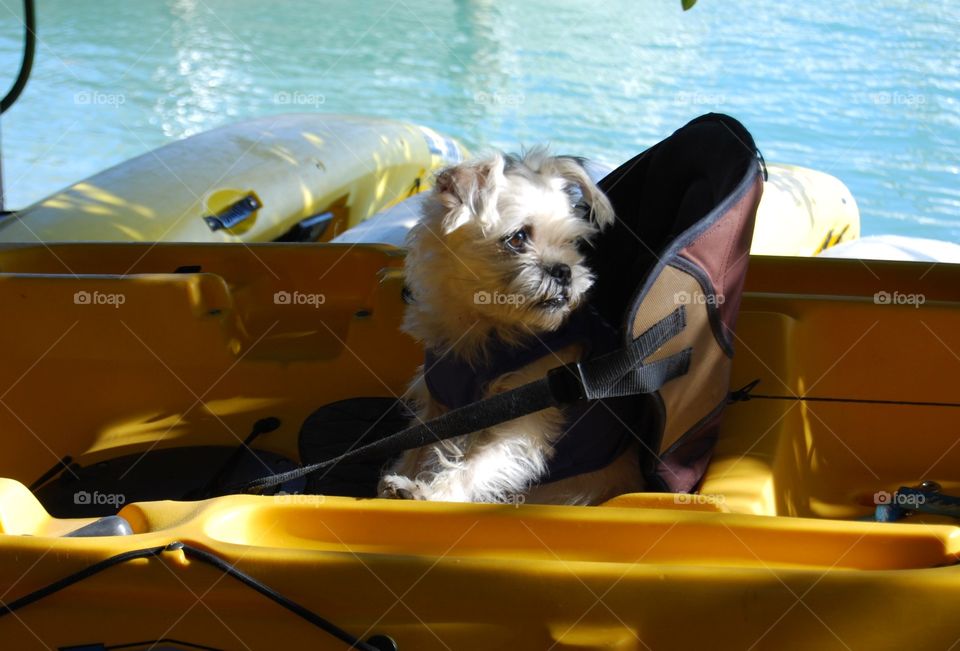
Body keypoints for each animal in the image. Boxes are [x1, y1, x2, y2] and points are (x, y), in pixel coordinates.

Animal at [376, 150, 644, 506]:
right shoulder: (439, 406)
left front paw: (429, 494)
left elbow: (475, 465)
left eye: (571, 243)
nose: (564, 271)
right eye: (517, 238)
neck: (484, 325)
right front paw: (403, 480)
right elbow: (417, 446)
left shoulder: (521, 420)